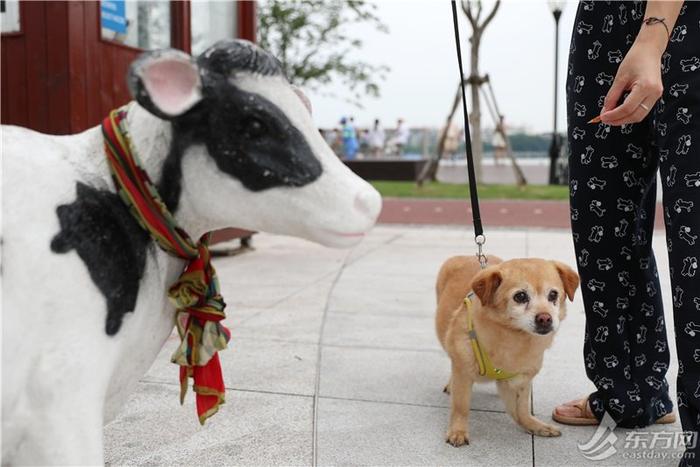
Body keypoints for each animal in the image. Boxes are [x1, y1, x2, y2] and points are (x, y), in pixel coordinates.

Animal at [434, 258, 576, 448]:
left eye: (553, 295)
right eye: (520, 296)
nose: (545, 318)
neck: (514, 339)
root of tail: (464, 255)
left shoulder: (522, 380)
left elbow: (522, 410)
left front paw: (534, 425)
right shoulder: (463, 373)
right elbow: (461, 406)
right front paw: (458, 431)